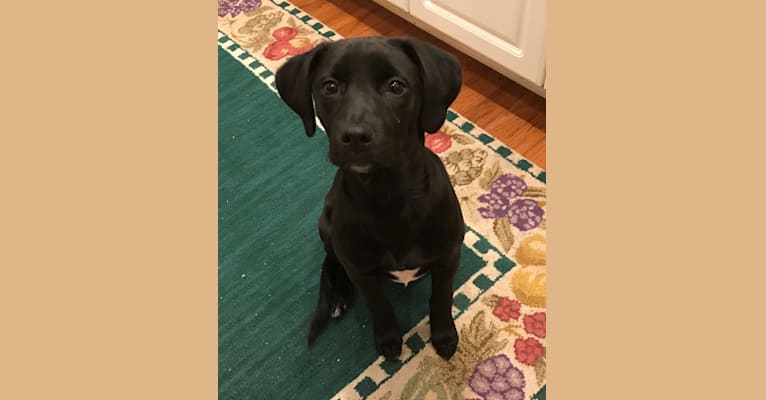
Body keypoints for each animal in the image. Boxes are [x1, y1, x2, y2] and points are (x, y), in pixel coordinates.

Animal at [278, 35, 468, 360]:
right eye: (329, 86)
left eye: (396, 86)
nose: (355, 136)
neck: (388, 194)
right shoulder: (363, 272)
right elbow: (379, 304)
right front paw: (388, 338)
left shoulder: (448, 259)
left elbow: (441, 298)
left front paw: (444, 335)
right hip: (326, 225)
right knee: (332, 261)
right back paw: (338, 296)